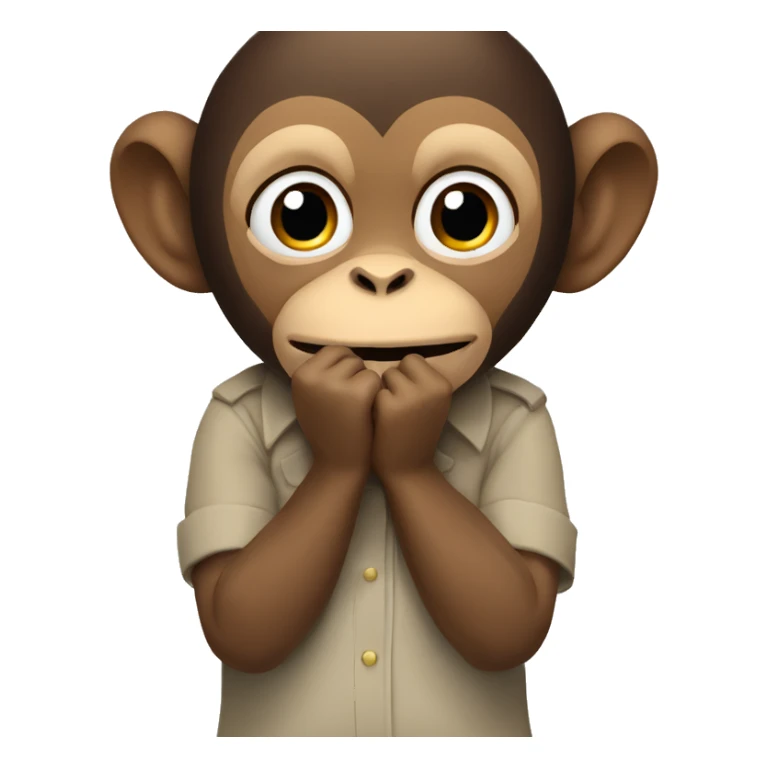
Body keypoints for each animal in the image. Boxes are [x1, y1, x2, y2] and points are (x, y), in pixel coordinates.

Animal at [110, 31, 657, 737]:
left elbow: (511, 613)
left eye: (464, 215)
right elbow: (241, 610)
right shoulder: (218, 420)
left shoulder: (537, 422)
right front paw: (340, 412)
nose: (381, 278)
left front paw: (406, 420)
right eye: (300, 215)